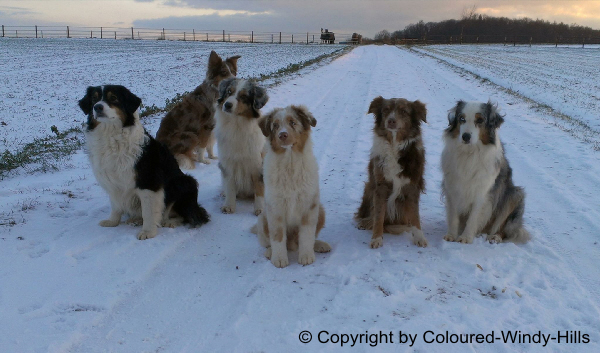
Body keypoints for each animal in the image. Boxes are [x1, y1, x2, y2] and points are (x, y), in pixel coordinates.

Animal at [77, 85, 210, 239]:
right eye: (94, 98)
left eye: (113, 98)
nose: (97, 107)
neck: (111, 135)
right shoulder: (113, 181)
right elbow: (115, 205)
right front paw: (112, 222)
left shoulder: (148, 182)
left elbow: (148, 211)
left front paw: (148, 232)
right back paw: (135, 219)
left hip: (185, 182)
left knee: (187, 213)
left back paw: (170, 222)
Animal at [217, 77, 268, 214]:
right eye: (229, 92)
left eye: (244, 96)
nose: (227, 105)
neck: (237, 125)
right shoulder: (228, 163)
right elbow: (230, 187)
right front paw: (229, 206)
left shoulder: (257, 165)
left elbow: (259, 188)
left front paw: (260, 209)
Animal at [251, 104, 330, 266]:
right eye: (275, 125)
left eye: (293, 122)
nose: (282, 135)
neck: (290, 163)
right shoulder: (275, 209)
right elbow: (277, 237)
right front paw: (279, 259)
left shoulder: (309, 206)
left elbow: (306, 235)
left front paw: (306, 257)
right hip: (263, 218)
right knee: (268, 242)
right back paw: (270, 252)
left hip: (320, 210)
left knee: (305, 239)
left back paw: (319, 245)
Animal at [354, 96, 428, 248]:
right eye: (386, 110)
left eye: (404, 111)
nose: (391, 120)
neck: (394, 144)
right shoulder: (380, 185)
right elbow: (378, 215)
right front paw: (376, 238)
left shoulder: (412, 186)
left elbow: (415, 215)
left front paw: (419, 237)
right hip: (368, 188)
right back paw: (364, 222)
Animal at [440, 99, 528, 242]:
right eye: (462, 118)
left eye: (480, 120)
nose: (465, 137)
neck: (469, 153)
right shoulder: (452, 187)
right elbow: (453, 216)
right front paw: (451, 235)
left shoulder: (482, 191)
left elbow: (473, 217)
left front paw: (465, 238)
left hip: (515, 194)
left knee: (503, 227)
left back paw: (495, 237)